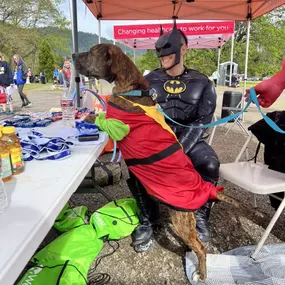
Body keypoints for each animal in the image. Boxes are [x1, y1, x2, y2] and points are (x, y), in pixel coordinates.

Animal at [75, 43, 251, 280]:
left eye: (92, 52)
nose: (73, 55)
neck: (132, 89)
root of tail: (205, 188)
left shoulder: (116, 128)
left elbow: (100, 119)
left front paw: (86, 115)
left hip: (181, 220)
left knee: (201, 249)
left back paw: (201, 273)